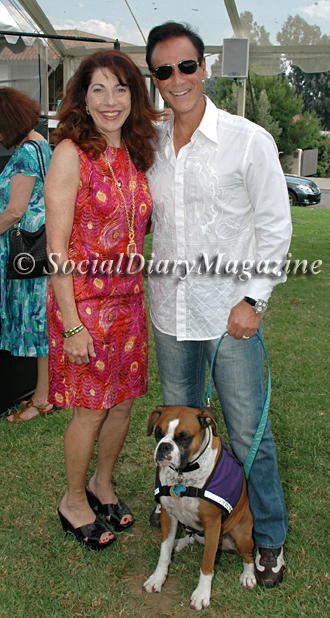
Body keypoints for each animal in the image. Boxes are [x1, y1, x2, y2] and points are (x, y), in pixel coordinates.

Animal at [143, 402, 256, 608]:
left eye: (184, 437)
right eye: (158, 432)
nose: (164, 446)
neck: (184, 473)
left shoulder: (212, 523)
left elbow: (207, 563)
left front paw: (202, 594)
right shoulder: (168, 515)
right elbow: (164, 552)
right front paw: (157, 578)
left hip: (241, 535)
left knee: (249, 556)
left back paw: (248, 576)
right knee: (191, 535)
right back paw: (178, 543)